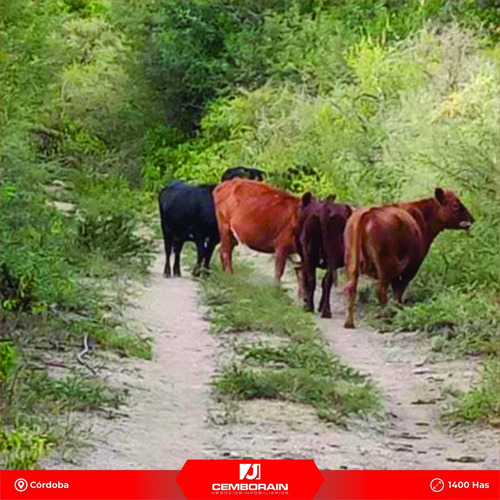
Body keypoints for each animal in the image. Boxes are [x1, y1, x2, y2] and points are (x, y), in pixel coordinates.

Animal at [342, 188, 474, 328]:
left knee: (352, 287)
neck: (422, 217)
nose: (472, 219)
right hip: (386, 265)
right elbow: (400, 288)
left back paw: (349, 322)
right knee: (380, 289)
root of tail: (368, 213)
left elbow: (396, 288)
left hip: (351, 262)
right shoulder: (413, 265)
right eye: (455, 205)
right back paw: (386, 318)